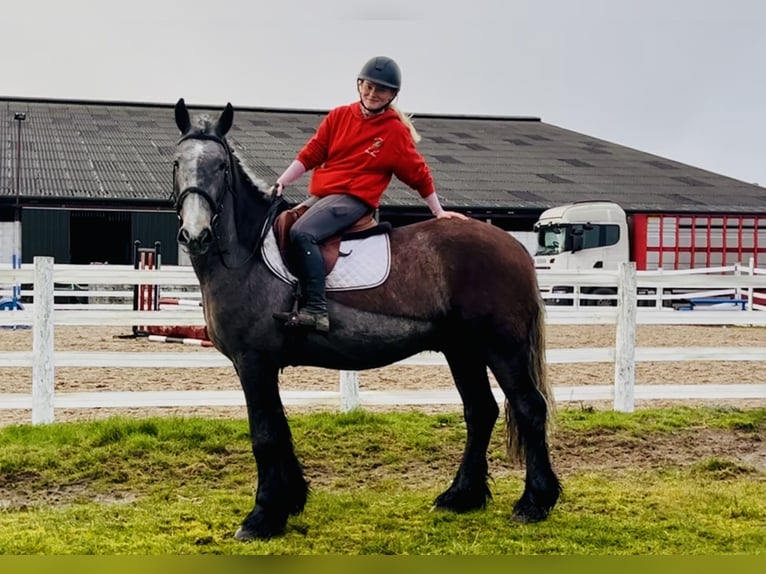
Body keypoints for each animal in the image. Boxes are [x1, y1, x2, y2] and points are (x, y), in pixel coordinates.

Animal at [171, 98, 561, 540]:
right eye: (177, 162)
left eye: (221, 167)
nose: (196, 235)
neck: (248, 255)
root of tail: (514, 247)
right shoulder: (263, 366)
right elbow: (280, 429)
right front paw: (290, 501)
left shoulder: (253, 362)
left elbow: (265, 435)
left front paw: (263, 516)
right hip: (462, 350)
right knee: (481, 411)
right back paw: (461, 496)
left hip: (501, 348)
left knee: (529, 408)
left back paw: (534, 501)